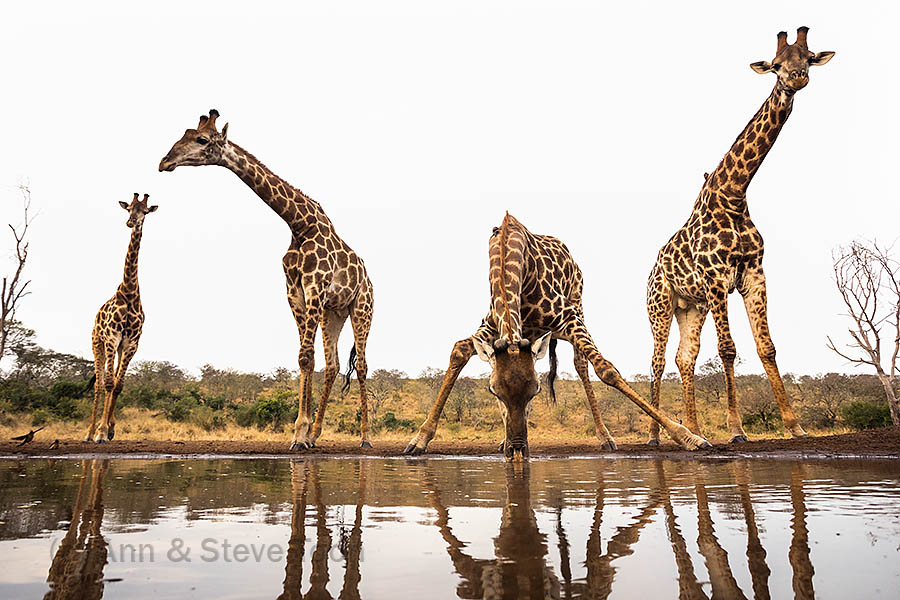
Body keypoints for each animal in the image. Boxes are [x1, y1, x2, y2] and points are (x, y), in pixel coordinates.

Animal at [85, 193, 157, 443]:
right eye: (128, 209)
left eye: (144, 211)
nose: (130, 222)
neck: (129, 293)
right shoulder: (111, 337)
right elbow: (107, 383)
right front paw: (100, 431)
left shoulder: (130, 343)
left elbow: (118, 385)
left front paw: (109, 429)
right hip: (97, 343)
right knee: (98, 384)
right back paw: (89, 432)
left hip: (116, 348)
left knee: (112, 379)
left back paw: (108, 427)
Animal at [159, 110, 375, 450]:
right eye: (185, 134)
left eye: (202, 140)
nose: (164, 161)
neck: (299, 225)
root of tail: (368, 279)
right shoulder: (295, 293)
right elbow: (305, 358)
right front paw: (304, 434)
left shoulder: (314, 288)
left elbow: (305, 356)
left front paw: (299, 434)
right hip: (333, 314)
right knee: (334, 366)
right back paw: (318, 434)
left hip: (362, 309)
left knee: (363, 366)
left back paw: (365, 437)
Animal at [405, 212, 710, 460]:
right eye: (494, 391)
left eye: (536, 391)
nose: (518, 449)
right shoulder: (490, 325)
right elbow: (459, 351)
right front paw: (419, 440)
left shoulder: (568, 318)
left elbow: (606, 370)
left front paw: (690, 437)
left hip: (577, 306)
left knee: (582, 364)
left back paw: (605, 437)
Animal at [646, 27, 834, 444]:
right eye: (776, 64)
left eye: (809, 58)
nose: (797, 78)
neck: (734, 195)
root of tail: (651, 271)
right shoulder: (718, 278)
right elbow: (729, 349)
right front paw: (736, 430)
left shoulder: (753, 275)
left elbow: (767, 347)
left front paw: (794, 426)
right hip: (661, 306)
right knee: (658, 360)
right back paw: (655, 436)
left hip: (692, 307)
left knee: (685, 357)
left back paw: (695, 430)